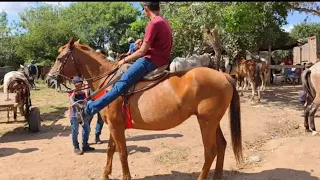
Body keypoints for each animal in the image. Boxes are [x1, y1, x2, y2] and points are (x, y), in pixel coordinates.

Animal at [47, 37, 242, 179]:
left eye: (59, 58)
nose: (49, 79)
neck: (110, 83)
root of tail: (224, 76)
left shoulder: (116, 127)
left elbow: (122, 153)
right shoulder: (113, 126)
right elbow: (111, 150)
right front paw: (105, 174)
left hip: (206, 122)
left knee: (210, 151)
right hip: (212, 121)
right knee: (222, 145)